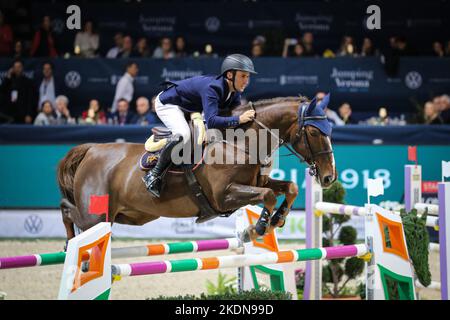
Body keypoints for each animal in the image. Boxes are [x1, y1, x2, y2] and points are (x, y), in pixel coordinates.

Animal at [58, 95, 336, 242]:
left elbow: (289, 188)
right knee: (68, 210)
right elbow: (268, 195)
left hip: (124, 215)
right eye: (314, 132)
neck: (239, 142)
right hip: (96, 215)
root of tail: (91, 150)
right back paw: (70, 245)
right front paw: (256, 229)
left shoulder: (255, 183)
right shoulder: (223, 196)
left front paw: (277, 219)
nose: (329, 177)